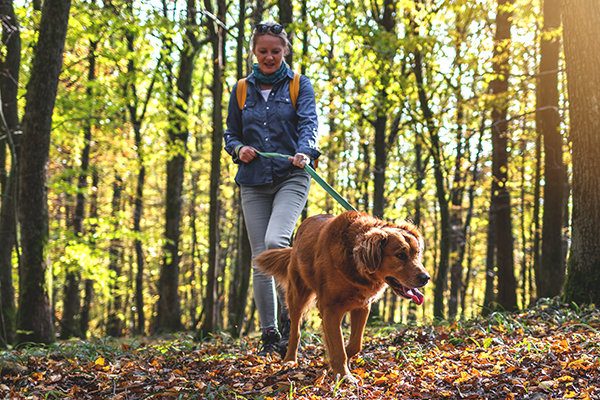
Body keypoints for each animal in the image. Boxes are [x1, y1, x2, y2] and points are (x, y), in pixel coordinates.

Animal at [255, 211, 428, 380]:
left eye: (417, 253)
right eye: (400, 255)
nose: (426, 278)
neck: (355, 262)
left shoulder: (362, 307)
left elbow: (354, 345)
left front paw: (331, 365)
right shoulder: (330, 309)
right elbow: (338, 348)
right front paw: (344, 376)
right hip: (297, 295)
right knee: (295, 331)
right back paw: (290, 360)